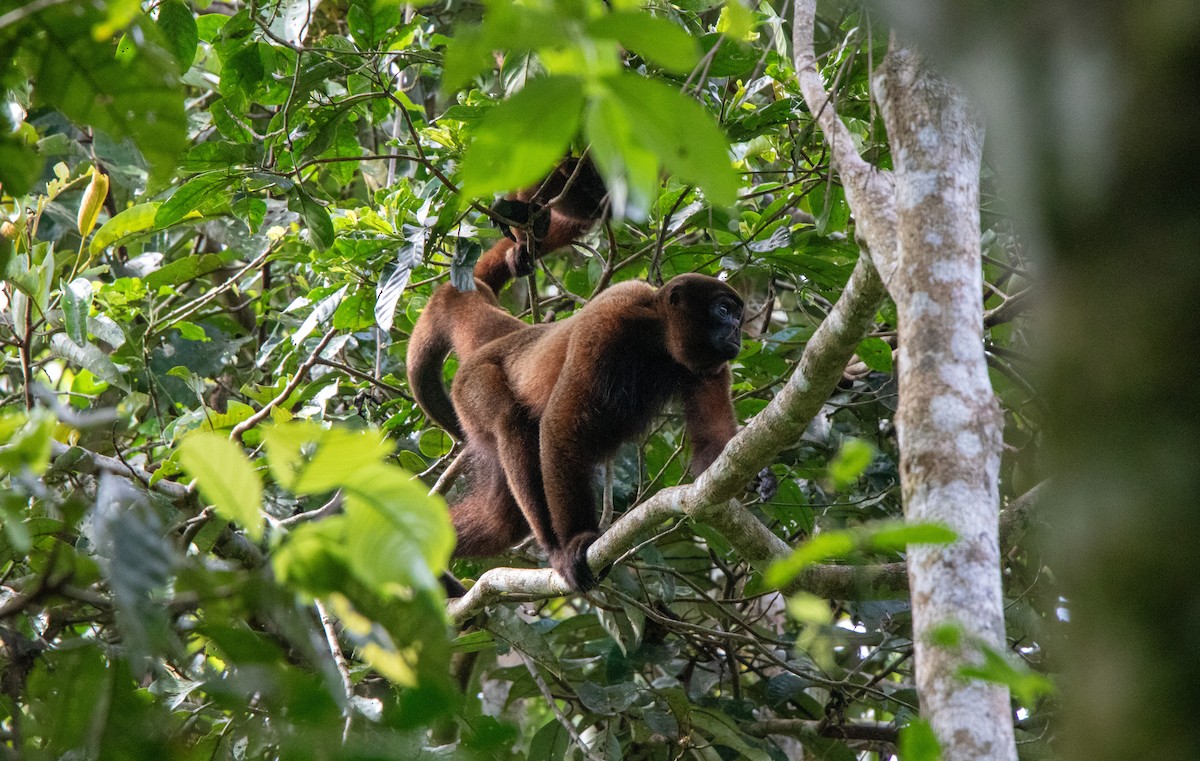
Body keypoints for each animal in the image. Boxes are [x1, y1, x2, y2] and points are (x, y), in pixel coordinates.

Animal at [444, 274, 745, 591]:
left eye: (738, 315)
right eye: (723, 310)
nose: (738, 328)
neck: (659, 338)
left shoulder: (712, 368)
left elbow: (713, 437)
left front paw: (757, 479)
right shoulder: (607, 320)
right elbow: (559, 427)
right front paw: (575, 541)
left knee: (500, 523)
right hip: (472, 385)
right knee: (511, 421)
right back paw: (555, 548)